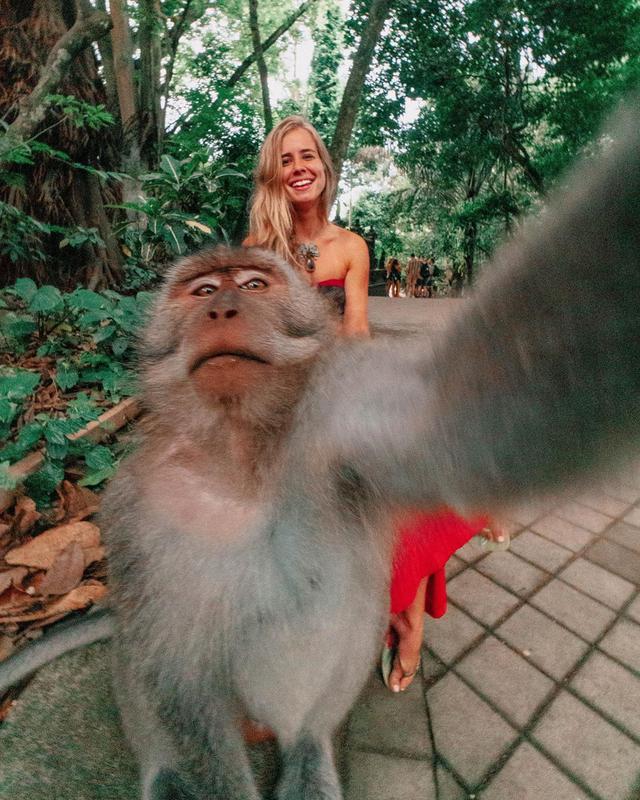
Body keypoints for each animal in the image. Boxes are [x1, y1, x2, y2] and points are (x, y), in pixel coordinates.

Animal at [0, 101, 639, 800]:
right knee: (146, 664)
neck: (242, 454)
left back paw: (313, 742)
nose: (222, 309)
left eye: (253, 286)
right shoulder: (136, 508)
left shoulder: (337, 422)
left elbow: (476, 413)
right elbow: (174, 670)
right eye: (203, 292)